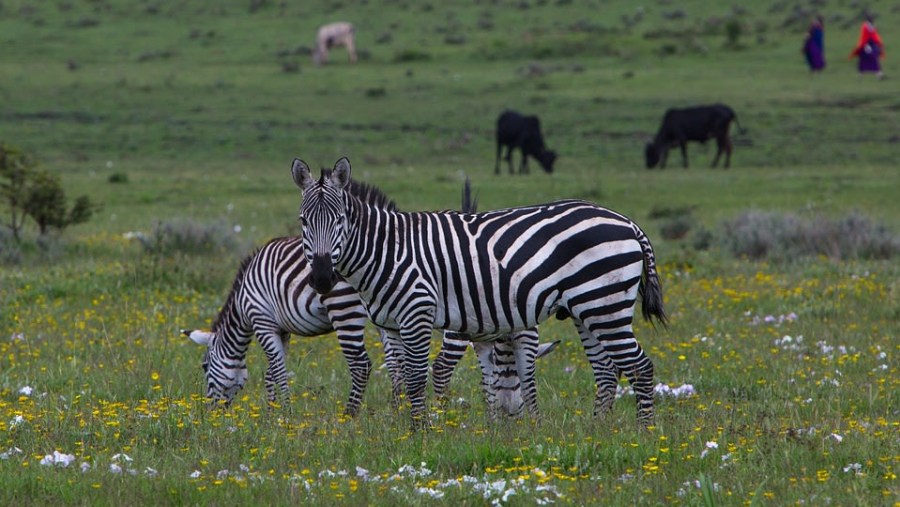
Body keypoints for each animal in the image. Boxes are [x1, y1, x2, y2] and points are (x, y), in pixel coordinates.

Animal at [292, 158, 664, 428]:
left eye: (340, 219)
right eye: (303, 221)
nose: (322, 278)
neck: (388, 250)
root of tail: (628, 222)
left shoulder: (417, 312)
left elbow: (416, 378)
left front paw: (421, 433)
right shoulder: (391, 325)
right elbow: (398, 379)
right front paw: (403, 430)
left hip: (605, 303)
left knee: (640, 367)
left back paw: (643, 434)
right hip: (586, 309)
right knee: (606, 371)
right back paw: (597, 431)